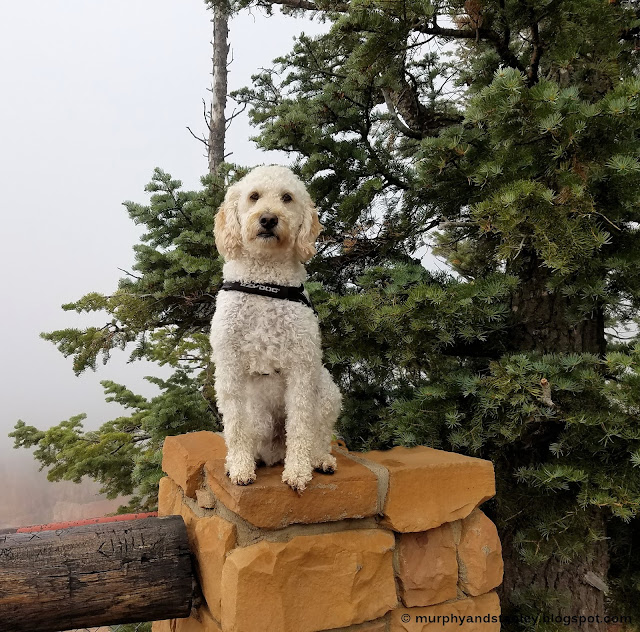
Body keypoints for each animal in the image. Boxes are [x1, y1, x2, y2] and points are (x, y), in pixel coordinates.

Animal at [209, 165, 342, 492]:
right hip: (259, 416)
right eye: (254, 196)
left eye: (287, 198)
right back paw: (244, 460)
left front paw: (298, 472)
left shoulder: (302, 367)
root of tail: (274, 451)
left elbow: (301, 425)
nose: (268, 219)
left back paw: (319, 459)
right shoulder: (229, 367)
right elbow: (235, 427)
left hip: (327, 390)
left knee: (318, 436)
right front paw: (240, 468)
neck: (266, 284)